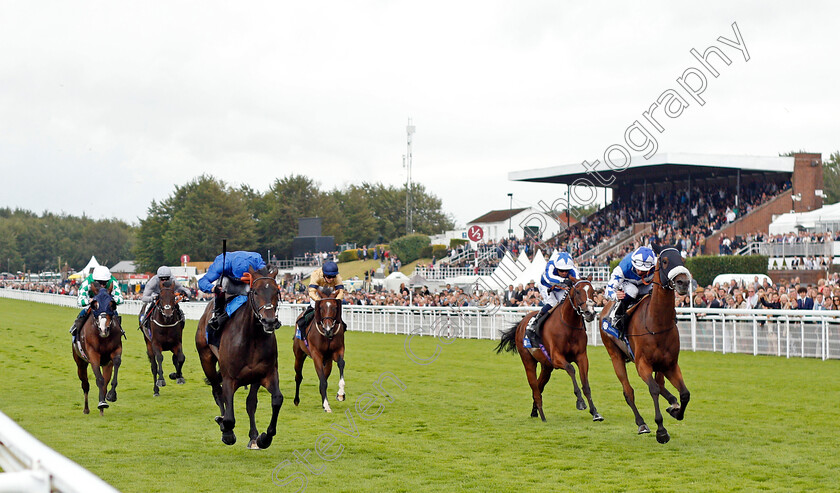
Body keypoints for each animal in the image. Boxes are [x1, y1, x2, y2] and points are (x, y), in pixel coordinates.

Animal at [72, 286, 122, 414]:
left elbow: (116, 364)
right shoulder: (93, 354)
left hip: (106, 364)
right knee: (85, 384)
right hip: (80, 363)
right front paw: (101, 403)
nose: (104, 329)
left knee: (105, 381)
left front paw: (111, 395)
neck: (102, 337)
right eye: (94, 304)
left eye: (112, 304)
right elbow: (99, 379)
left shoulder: (116, 350)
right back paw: (86, 409)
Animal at [196, 268, 286, 448]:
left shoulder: (266, 373)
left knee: (250, 402)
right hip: (206, 359)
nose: (269, 321)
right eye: (255, 292)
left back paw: (253, 437)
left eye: (276, 291)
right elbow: (229, 417)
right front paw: (227, 431)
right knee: (217, 392)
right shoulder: (229, 378)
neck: (251, 338)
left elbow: (274, 400)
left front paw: (263, 438)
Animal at [492, 278, 604, 420]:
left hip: (546, 366)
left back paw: (535, 411)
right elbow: (571, 369)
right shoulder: (556, 358)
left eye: (593, 292)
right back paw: (541, 414)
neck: (568, 325)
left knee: (539, 387)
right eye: (578, 292)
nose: (590, 313)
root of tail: (521, 323)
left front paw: (595, 412)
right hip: (528, 361)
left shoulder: (582, 357)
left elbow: (586, 385)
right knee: (534, 386)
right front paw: (580, 402)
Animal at [600, 246, 692, 442]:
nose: (683, 282)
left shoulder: (670, 364)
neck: (656, 324)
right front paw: (661, 430)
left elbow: (684, 393)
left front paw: (676, 411)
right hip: (615, 355)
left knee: (663, 385)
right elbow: (653, 389)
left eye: (681, 259)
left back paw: (672, 403)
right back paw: (641, 423)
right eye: (664, 261)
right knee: (629, 392)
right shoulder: (642, 365)